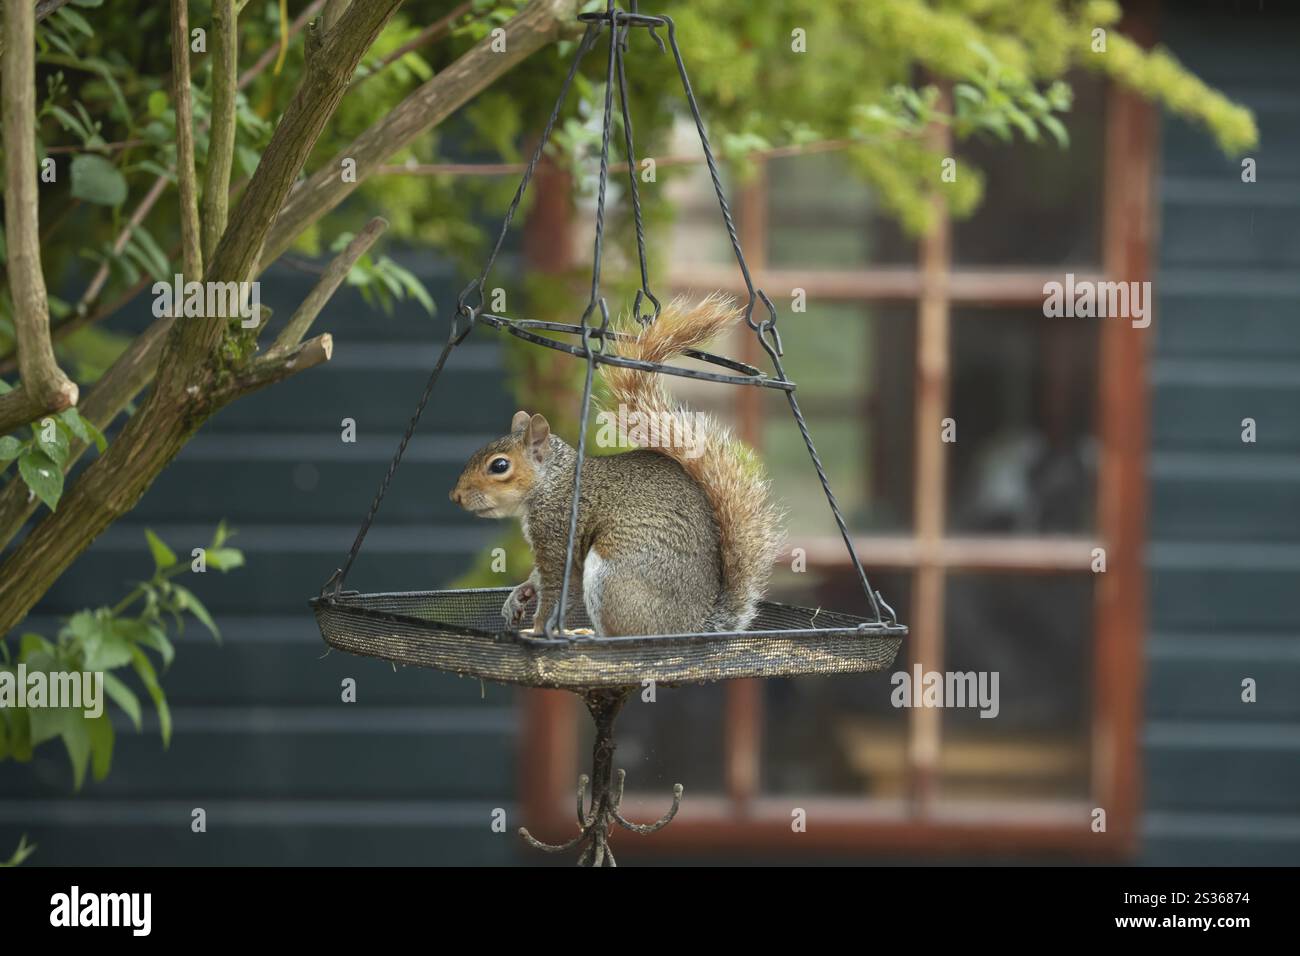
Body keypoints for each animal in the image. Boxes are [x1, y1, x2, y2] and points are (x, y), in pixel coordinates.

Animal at [449, 291, 780, 634]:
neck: (552, 482)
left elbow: (556, 591)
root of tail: (691, 628)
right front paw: (519, 595)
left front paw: (538, 631)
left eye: (499, 466)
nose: (455, 496)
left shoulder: (557, 533)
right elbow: (538, 579)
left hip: (612, 579)